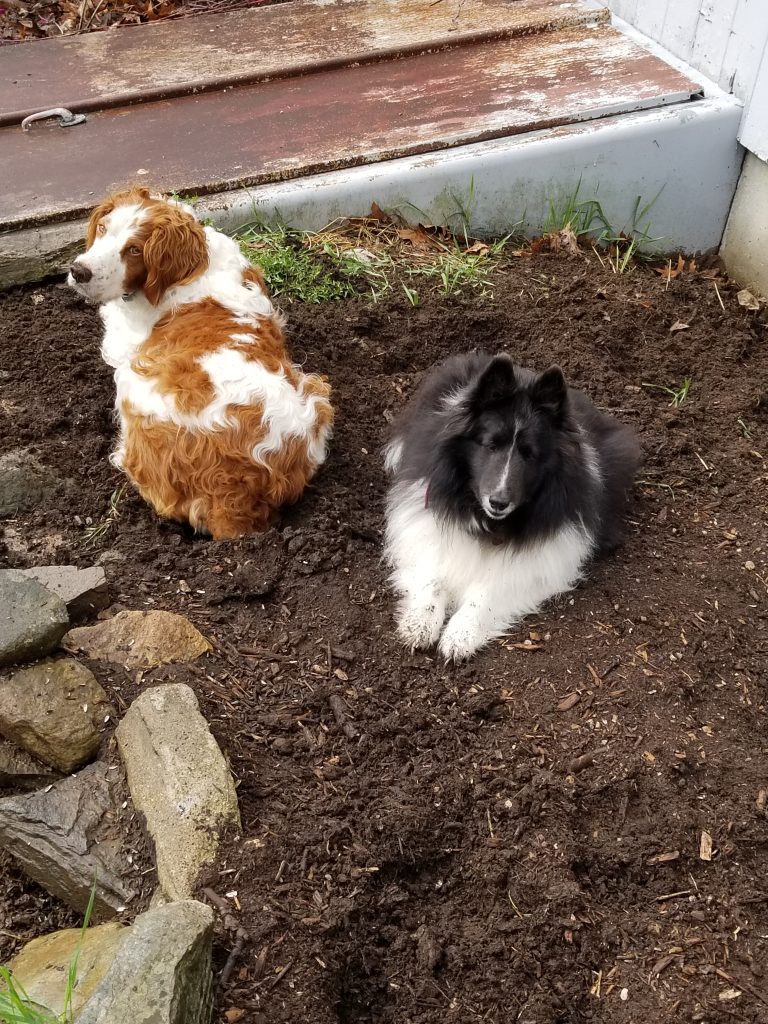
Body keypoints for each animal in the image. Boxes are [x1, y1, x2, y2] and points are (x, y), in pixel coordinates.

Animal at [67, 188, 333, 539]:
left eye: (135, 250)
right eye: (102, 228)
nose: (78, 271)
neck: (192, 269)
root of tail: (232, 498)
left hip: (135, 385)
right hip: (316, 395)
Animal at [384, 352, 639, 661]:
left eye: (529, 454)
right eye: (490, 445)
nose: (498, 502)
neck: (489, 520)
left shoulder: (537, 563)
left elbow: (486, 592)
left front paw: (459, 636)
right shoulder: (426, 526)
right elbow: (433, 576)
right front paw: (418, 626)